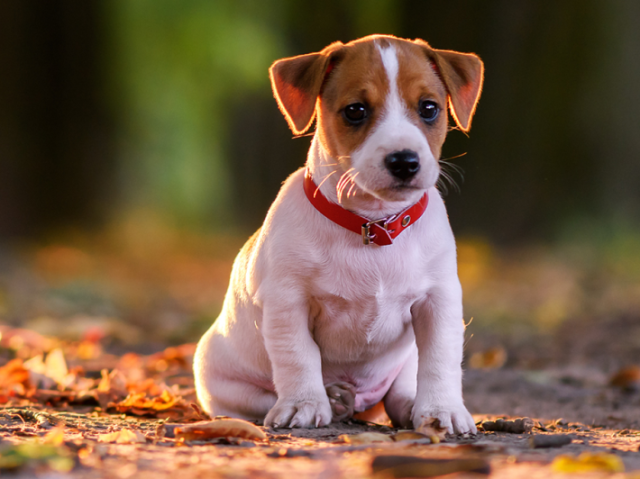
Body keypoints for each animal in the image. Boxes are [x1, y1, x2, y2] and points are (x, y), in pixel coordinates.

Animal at [192, 32, 482, 432]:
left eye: (429, 108)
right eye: (355, 110)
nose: (404, 161)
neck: (373, 226)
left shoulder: (438, 301)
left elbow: (440, 359)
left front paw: (442, 409)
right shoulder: (288, 301)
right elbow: (298, 356)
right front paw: (304, 404)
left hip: (404, 361)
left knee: (400, 390)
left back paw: (405, 405)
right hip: (217, 377)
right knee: (259, 399)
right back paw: (331, 400)